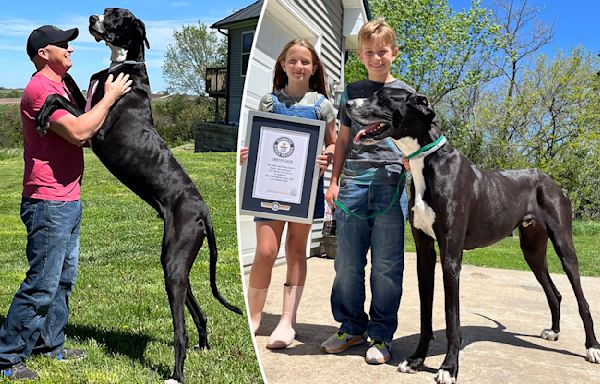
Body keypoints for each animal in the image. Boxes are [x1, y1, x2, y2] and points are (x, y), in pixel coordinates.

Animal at [34, 7, 241, 382]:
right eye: (106, 11)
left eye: (116, 16)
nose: (91, 17)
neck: (123, 64)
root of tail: (203, 210)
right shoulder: (87, 105)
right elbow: (66, 88)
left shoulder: (95, 130)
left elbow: (58, 98)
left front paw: (43, 116)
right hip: (175, 261)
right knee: (197, 309)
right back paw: (203, 345)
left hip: (174, 262)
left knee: (180, 329)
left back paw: (176, 373)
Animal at [346, 87, 600, 384]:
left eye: (383, 97)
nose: (347, 104)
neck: (428, 162)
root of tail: (550, 181)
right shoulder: (424, 254)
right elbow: (425, 315)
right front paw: (417, 359)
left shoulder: (451, 258)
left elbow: (451, 319)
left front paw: (448, 368)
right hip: (532, 251)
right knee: (554, 292)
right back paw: (554, 331)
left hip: (564, 245)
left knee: (582, 300)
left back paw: (592, 347)